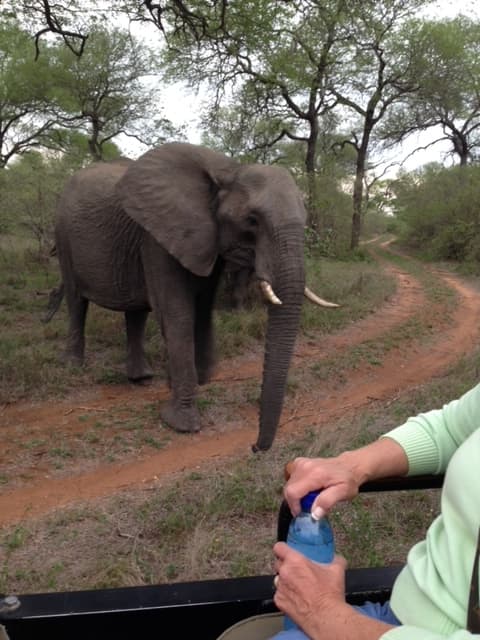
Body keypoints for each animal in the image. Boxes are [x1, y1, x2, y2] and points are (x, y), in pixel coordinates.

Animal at [47, 143, 338, 451]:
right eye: (252, 221)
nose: (255, 447)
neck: (229, 169)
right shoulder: (157, 236)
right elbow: (176, 313)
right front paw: (181, 422)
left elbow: (202, 307)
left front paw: (197, 378)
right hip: (63, 233)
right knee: (77, 301)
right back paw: (73, 365)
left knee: (136, 312)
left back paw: (141, 378)